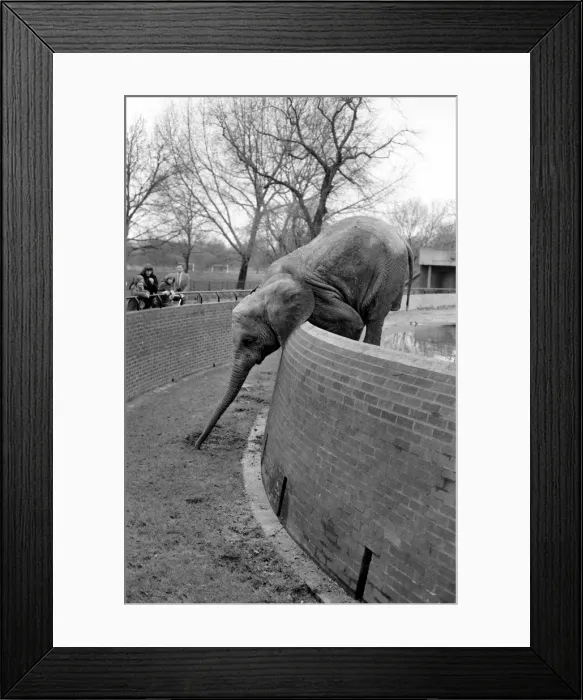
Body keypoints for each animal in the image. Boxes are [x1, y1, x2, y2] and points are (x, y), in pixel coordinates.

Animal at [195, 216, 413, 449]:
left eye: (249, 340)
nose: (197, 445)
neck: (266, 288)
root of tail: (402, 239)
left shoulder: (318, 296)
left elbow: (352, 322)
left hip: (388, 273)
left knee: (374, 316)